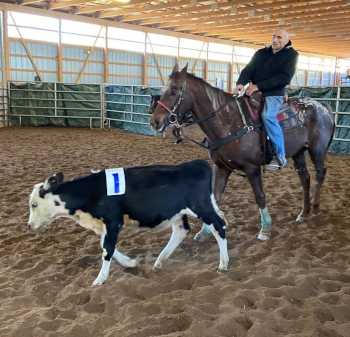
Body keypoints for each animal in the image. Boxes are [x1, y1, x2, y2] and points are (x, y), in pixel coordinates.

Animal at [28, 159, 228, 284]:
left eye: (34, 204)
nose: (29, 225)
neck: (91, 191)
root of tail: (196, 164)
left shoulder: (112, 222)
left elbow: (107, 250)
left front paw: (99, 280)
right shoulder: (105, 225)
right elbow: (105, 245)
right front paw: (130, 263)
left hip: (201, 207)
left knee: (219, 226)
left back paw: (223, 265)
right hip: (180, 213)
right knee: (181, 231)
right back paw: (159, 262)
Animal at [150, 63, 334, 242]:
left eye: (175, 91)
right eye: (163, 91)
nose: (154, 122)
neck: (228, 122)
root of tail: (323, 107)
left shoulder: (252, 168)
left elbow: (260, 196)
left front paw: (265, 228)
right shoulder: (221, 167)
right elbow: (215, 197)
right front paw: (205, 231)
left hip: (316, 151)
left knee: (320, 173)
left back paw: (315, 208)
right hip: (299, 153)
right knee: (305, 179)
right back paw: (304, 213)